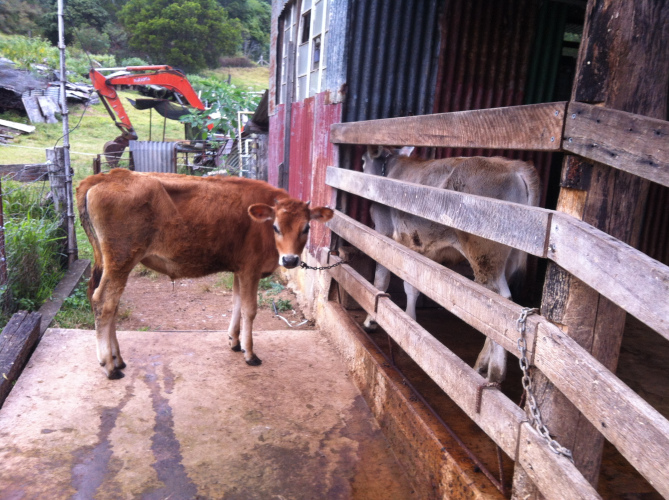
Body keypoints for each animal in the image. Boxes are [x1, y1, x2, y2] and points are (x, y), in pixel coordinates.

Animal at [77, 169, 332, 378]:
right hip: (121, 261)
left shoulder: (239, 269)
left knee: (111, 304)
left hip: (112, 264)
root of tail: (108, 175)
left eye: (306, 227)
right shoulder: (250, 269)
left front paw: (234, 342)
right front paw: (249, 353)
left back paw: (117, 359)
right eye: (276, 227)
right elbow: (249, 310)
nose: (290, 260)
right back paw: (109, 365)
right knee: (104, 302)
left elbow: (236, 303)